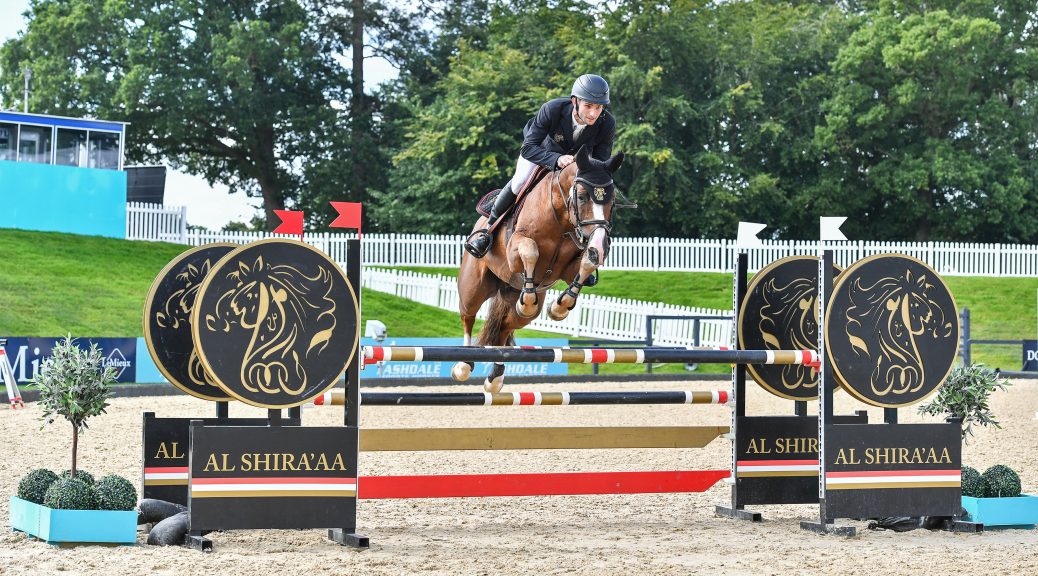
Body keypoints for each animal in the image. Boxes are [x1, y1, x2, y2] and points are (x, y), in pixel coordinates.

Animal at [452, 146, 622, 394]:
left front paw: (560, 307)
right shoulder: (515, 250)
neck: (562, 218)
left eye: (613, 199)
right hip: (473, 287)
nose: (600, 245)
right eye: (581, 196)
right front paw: (532, 300)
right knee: (468, 316)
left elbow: (587, 264)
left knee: (504, 328)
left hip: (514, 302)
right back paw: (463, 364)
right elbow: (530, 250)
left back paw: (496, 378)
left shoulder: (571, 266)